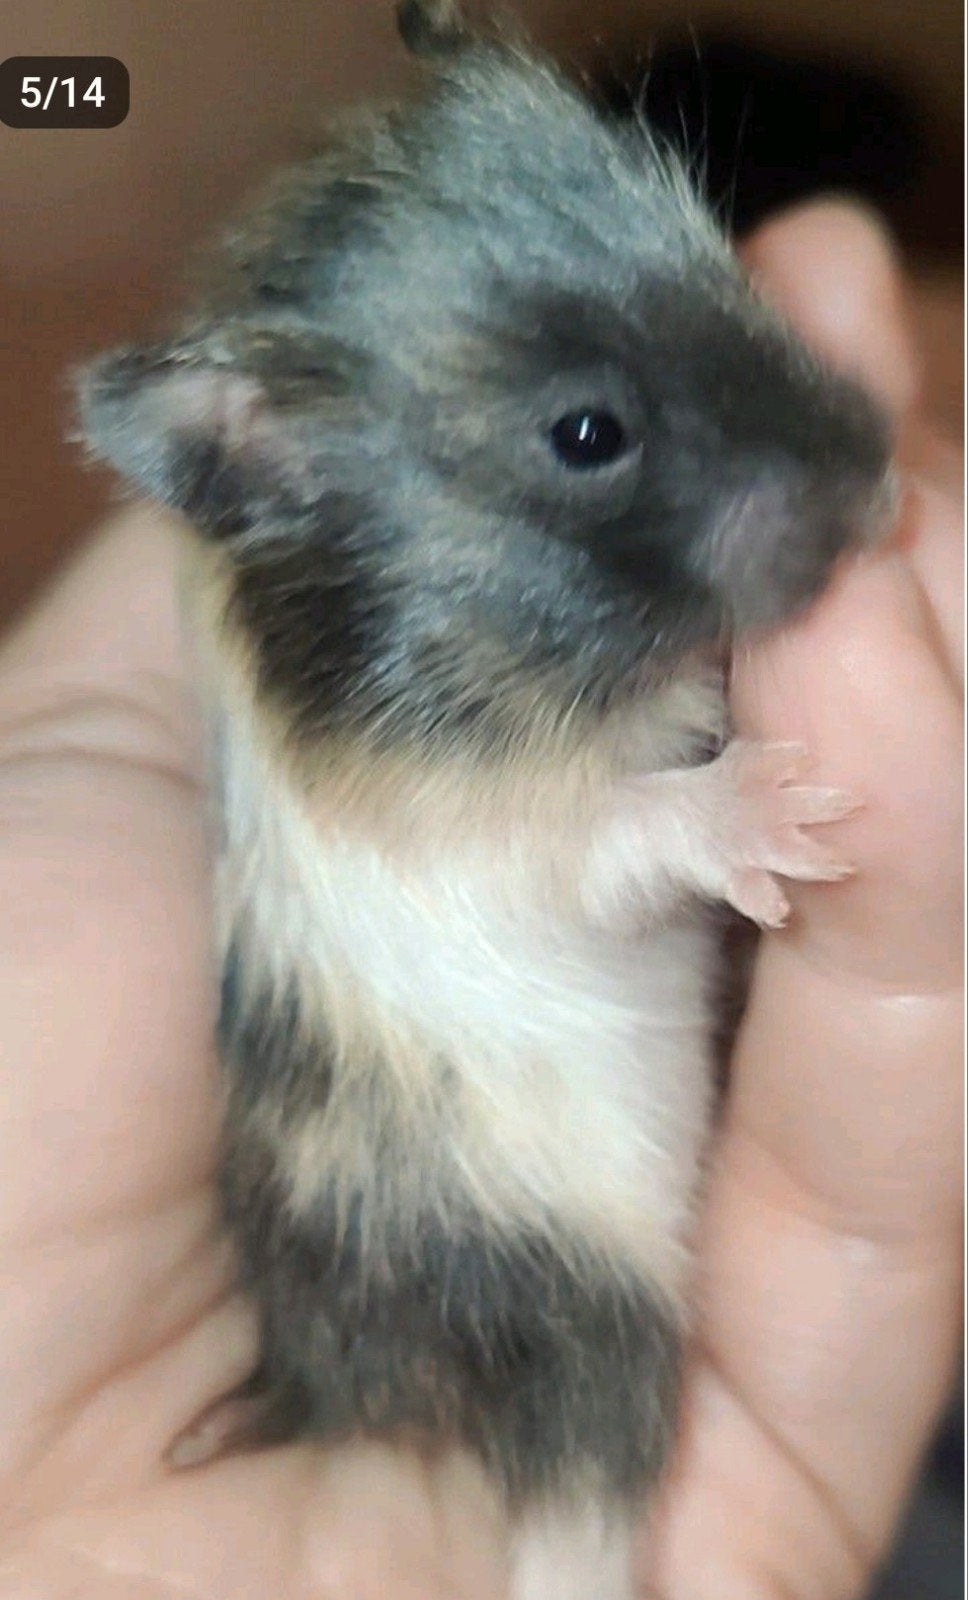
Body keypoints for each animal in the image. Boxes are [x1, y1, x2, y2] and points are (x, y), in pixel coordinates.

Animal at [78, 4, 892, 1594]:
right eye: (585, 435)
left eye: (713, 244)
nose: (894, 474)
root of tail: (315, 1389)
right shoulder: (490, 838)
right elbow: (630, 826)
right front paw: (781, 815)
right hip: (587, 1320)